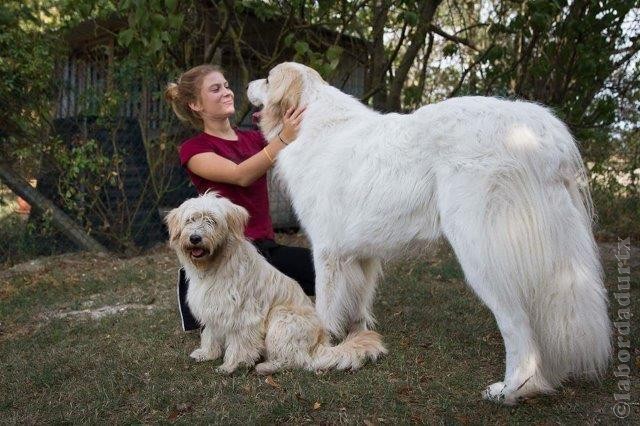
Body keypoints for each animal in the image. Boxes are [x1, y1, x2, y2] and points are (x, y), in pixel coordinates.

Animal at [165, 193, 384, 376]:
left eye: (212, 221)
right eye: (190, 220)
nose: (195, 238)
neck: (216, 264)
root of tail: (319, 345)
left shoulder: (243, 315)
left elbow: (239, 344)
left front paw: (232, 365)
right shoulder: (212, 309)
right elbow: (210, 334)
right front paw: (207, 354)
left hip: (282, 318)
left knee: (298, 360)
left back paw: (267, 366)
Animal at [248, 61, 612, 404]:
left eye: (267, 79)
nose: (249, 84)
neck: (309, 115)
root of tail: (541, 129)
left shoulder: (326, 252)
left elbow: (324, 306)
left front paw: (321, 347)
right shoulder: (360, 254)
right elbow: (358, 302)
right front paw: (356, 339)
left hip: (483, 254)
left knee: (516, 325)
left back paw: (511, 390)